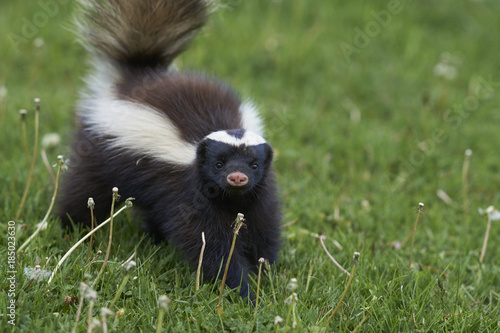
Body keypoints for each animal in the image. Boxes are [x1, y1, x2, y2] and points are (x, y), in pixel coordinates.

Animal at [58, 0, 282, 296]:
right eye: (218, 164)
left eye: (254, 165)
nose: (237, 177)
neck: (230, 198)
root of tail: (139, 77)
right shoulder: (192, 194)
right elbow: (209, 243)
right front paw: (240, 289)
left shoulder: (258, 193)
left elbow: (262, 229)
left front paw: (264, 276)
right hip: (98, 155)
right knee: (83, 193)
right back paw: (70, 229)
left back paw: (155, 240)